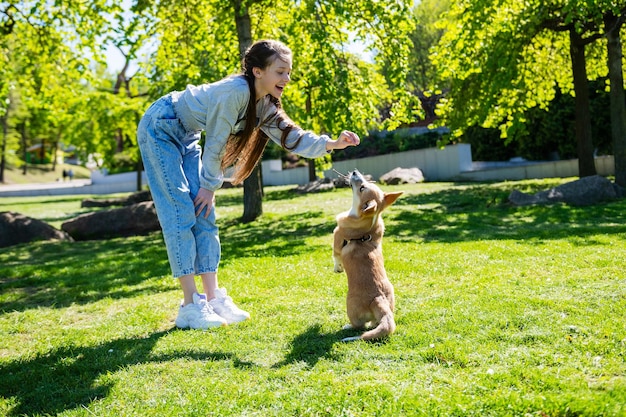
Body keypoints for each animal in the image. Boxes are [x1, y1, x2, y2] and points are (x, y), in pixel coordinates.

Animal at [330, 169, 402, 342]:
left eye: (362, 188)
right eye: (367, 183)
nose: (355, 171)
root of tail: (378, 300)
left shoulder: (337, 237)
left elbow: (335, 255)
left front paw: (337, 268)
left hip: (350, 306)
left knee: (359, 326)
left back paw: (348, 326)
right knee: (376, 323)